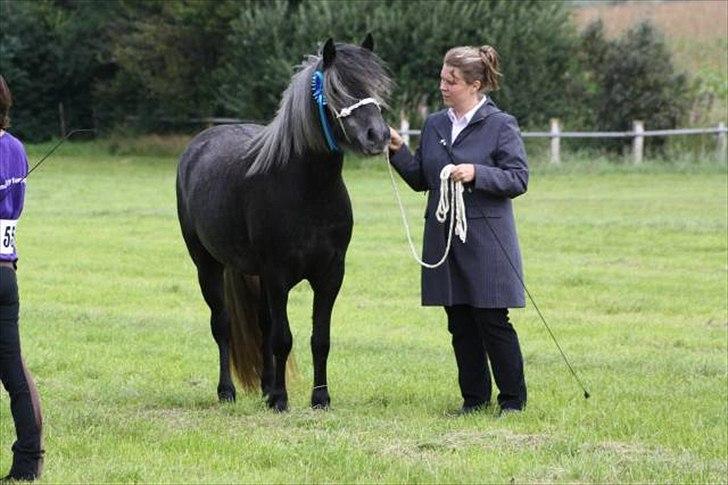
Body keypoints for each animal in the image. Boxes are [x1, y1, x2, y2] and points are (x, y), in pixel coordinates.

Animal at [176, 35, 391, 411]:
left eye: (375, 87)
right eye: (337, 90)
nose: (376, 136)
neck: (308, 189)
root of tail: (200, 145)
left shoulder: (331, 275)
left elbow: (320, 339)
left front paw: (319, 398)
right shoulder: (277, 274)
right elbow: (282, 337)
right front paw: (280, 400)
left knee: (261, 323)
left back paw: (264, 386)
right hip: (208, 265)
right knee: (223, 324)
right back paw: (227, 391)